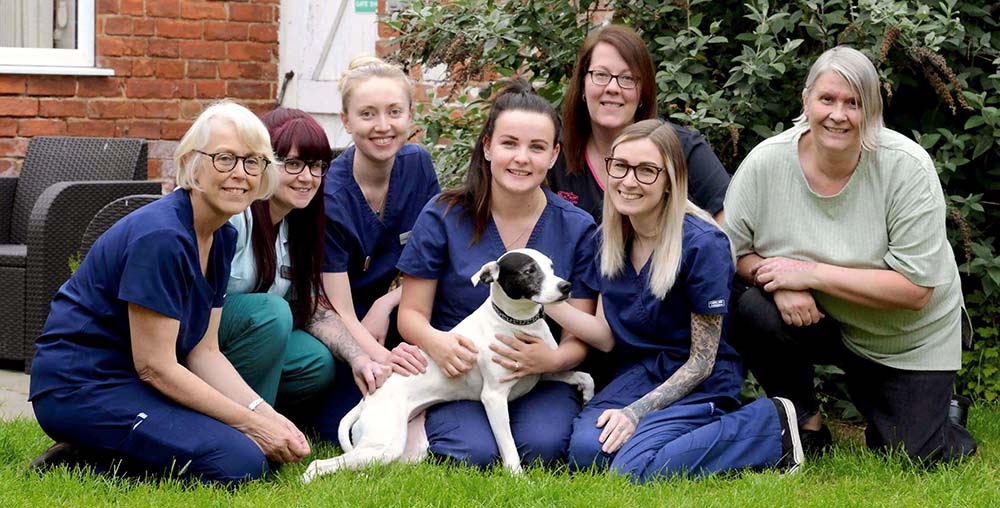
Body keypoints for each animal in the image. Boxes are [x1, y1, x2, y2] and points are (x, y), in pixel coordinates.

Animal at [302, 248, 592, 482]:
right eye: (529, 271)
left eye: (551, 267)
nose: (566, 286)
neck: (516, 323)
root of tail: (366, 401)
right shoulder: (494, 398)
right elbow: (509, 446)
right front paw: (518, 479)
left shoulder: (541, 371)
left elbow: (585, 375)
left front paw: (587, 395)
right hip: (383, 444)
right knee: (319, 465)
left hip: (405, 451)